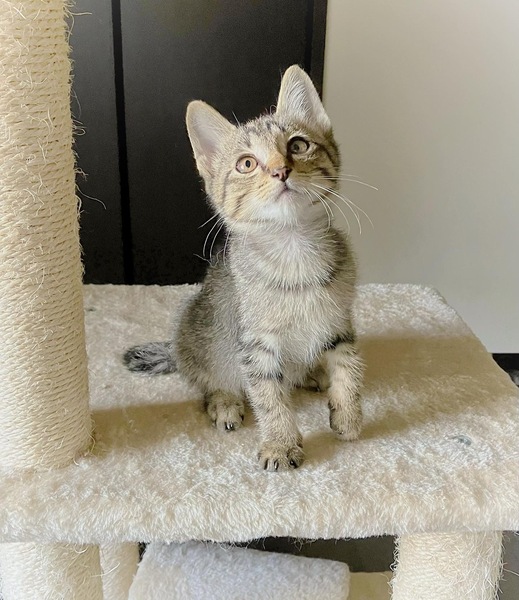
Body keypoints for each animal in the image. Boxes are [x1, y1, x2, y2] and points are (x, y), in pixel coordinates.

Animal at [124, 65, 363, 471]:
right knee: (210, 382)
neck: (294, 251)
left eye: (298, 145)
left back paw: (313, 374)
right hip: (204, 338)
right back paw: (225, 402)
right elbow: (270, 397)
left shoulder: (337, 320)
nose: (281, 171)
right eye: (247, 164)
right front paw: (281, 443)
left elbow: (348, 365)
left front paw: (347, 414)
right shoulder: (255, 345)